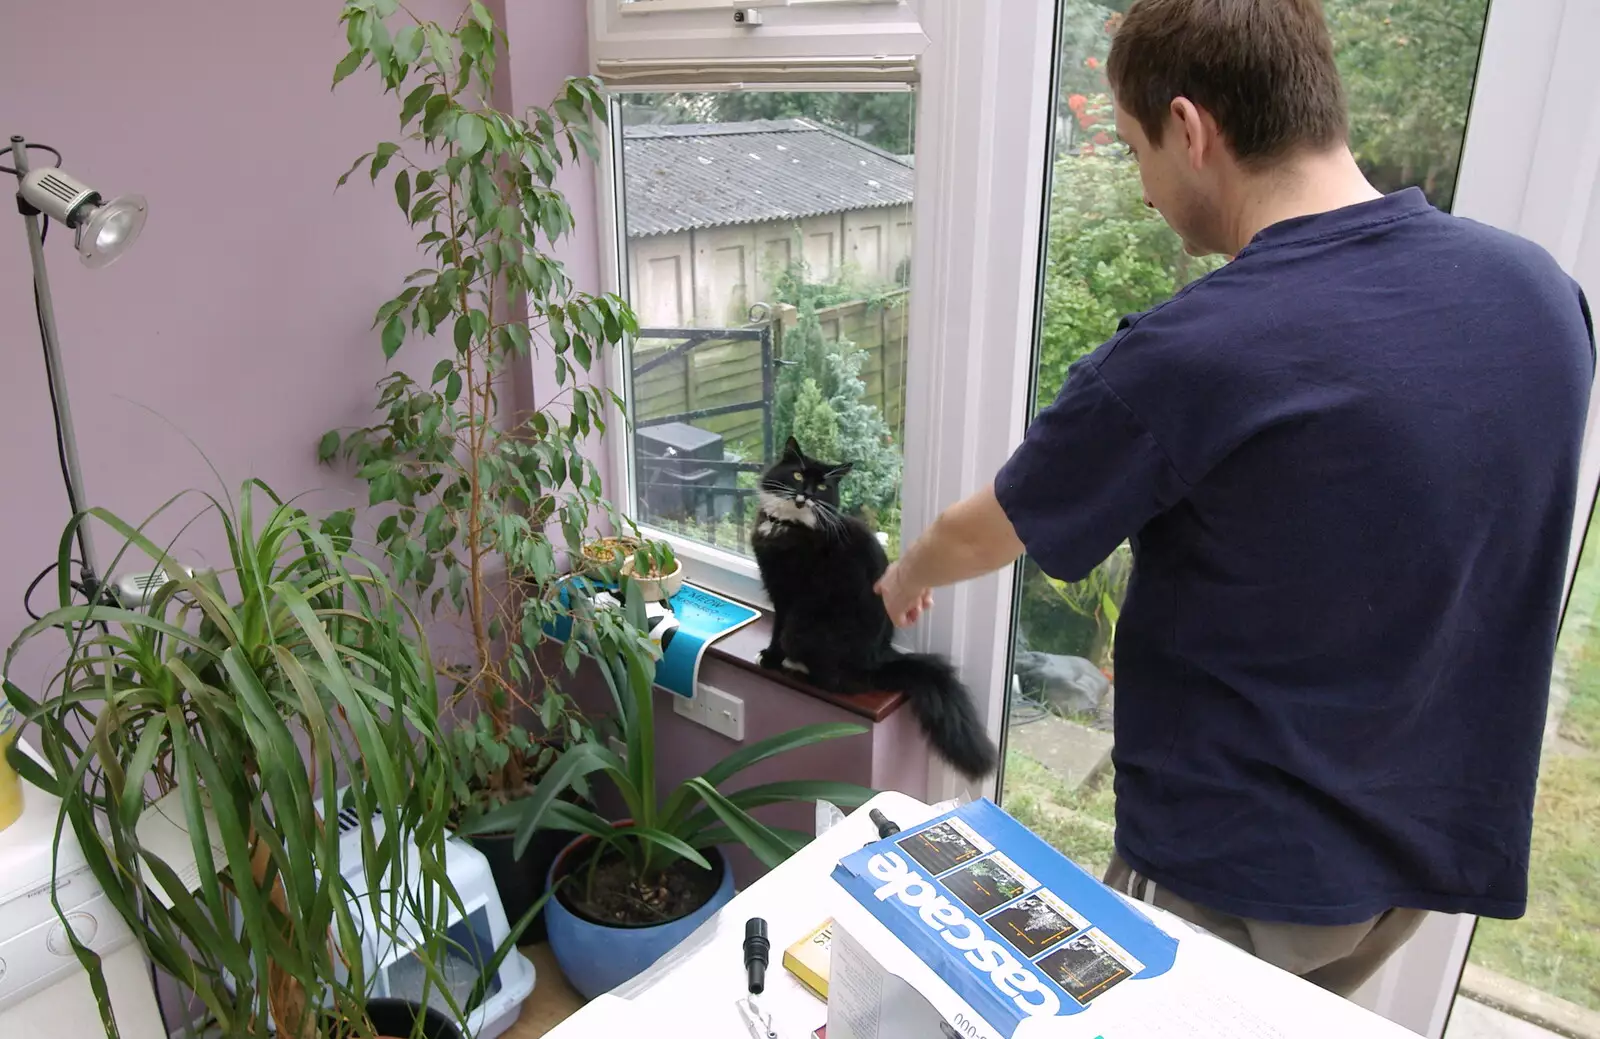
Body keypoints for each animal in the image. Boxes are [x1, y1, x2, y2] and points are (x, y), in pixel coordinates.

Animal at [748, 438, 998, 778]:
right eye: (798, 475)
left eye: (823, 486)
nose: (807, 495)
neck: (787, 525)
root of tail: (879, 660)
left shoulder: (787, 593)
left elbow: (777, 629)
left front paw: (771, 658)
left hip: (805, 630)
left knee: (836, 681)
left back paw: (796, 665)